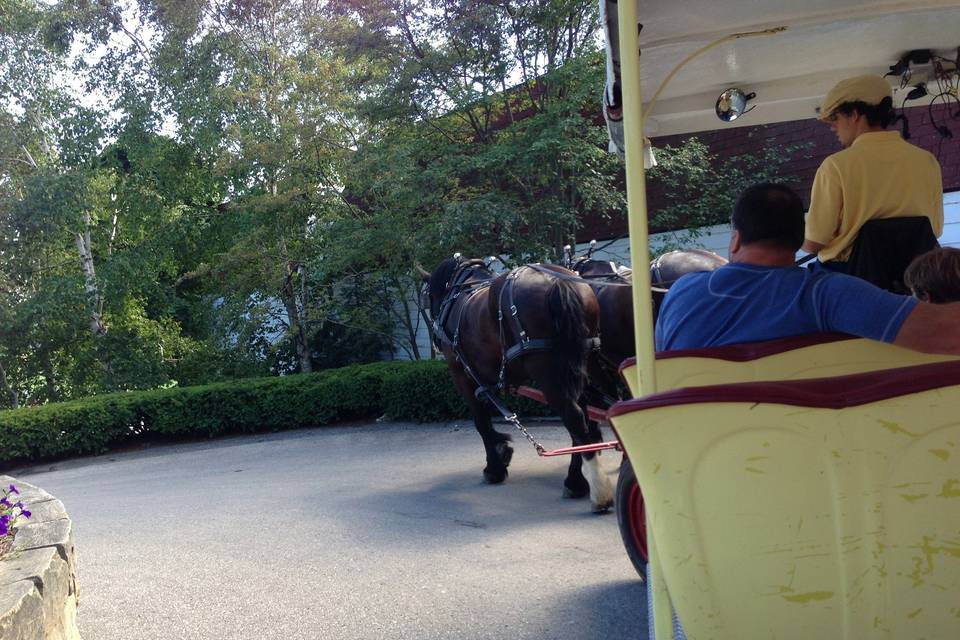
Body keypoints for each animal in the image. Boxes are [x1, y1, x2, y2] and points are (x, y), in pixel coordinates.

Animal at [420, 255, 616, 510]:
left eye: (428, 298)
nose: (434, 339)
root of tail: (558, 283)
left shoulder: (462, 374)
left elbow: (481, 421)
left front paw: (495, 466)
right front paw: (502, 450)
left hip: (547, 371)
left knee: (574, 416)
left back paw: (590, 488)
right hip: (586, 359)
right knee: (601, 407)